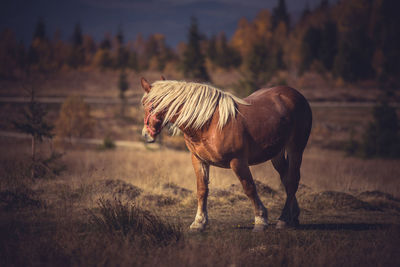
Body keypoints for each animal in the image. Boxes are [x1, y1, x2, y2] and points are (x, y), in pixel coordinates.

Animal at [141, 77, 312, 232]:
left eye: (148, 104)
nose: (145, 135)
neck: (209, 124)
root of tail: (295, 94)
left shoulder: (238, 161)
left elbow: (249, 188)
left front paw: (260, 220)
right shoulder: (199, 160)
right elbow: (202, 190)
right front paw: (199, 222)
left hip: (295, 148)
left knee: (292, 180)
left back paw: (283, 219)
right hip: (277, 153)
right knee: (286, 179)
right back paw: (293, 217)